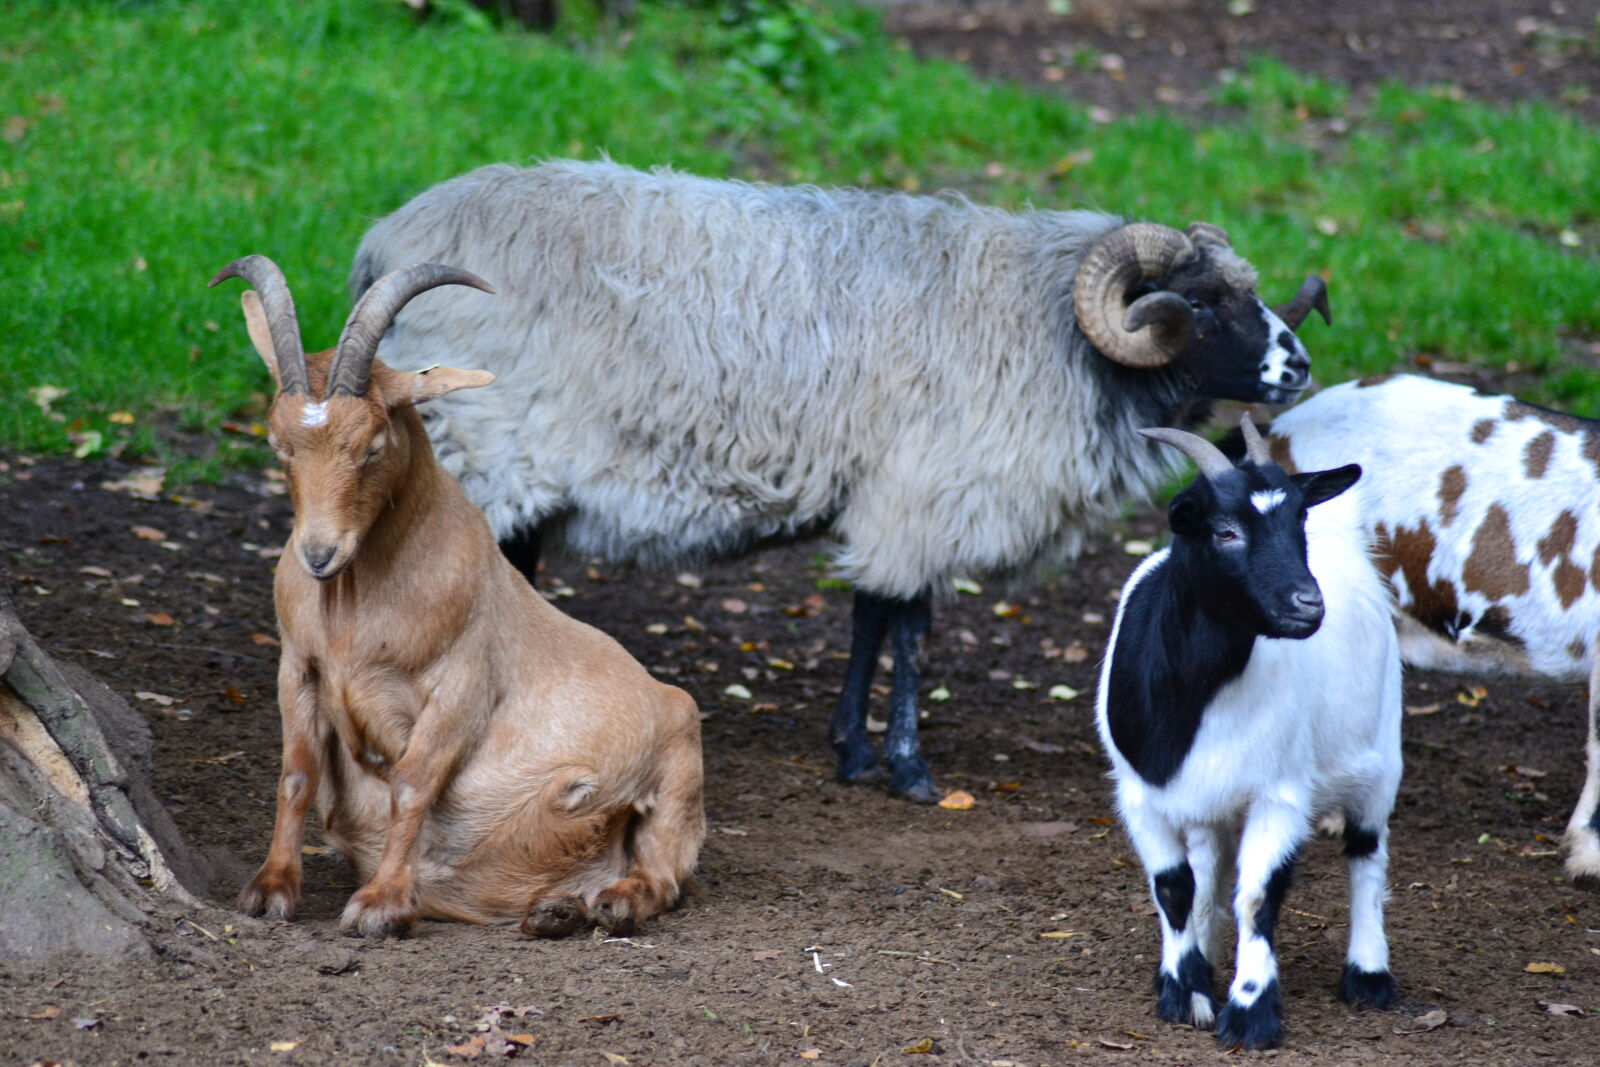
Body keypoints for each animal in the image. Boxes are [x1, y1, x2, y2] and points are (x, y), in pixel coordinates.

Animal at [211, 255, 704, 938]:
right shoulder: (299, 667)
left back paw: (615, 903)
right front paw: (270, 890)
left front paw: (382, 905)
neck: (353, 613)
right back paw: (555, 910)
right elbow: (296, 775)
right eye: (278, 445)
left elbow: (412, 784)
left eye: (373, 446)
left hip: (681, 753)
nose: (319, 555)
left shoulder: (460, 685)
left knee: (662, 873)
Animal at [350, 159, 1333, 803]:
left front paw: (851, 749)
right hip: (487, 448)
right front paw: (907, 767)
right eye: (1199, 301)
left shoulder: (890, 496)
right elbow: (910, 629)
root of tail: (388, 239)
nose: (1299, 365)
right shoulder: (920, 496)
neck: (1049, 329)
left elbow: (870, 619)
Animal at [1095, 416, 1400, 1049]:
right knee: (1208, 867)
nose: (1308, 604)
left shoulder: (1278, 792)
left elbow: (1259, 895)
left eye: (1296, 522)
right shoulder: (1140, 794)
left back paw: (1368, 975)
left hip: (1382, 752)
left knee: (1366, 853)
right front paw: (1184, 990)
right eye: (1225, 531)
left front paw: (1250, 1012)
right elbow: (1176, 887)